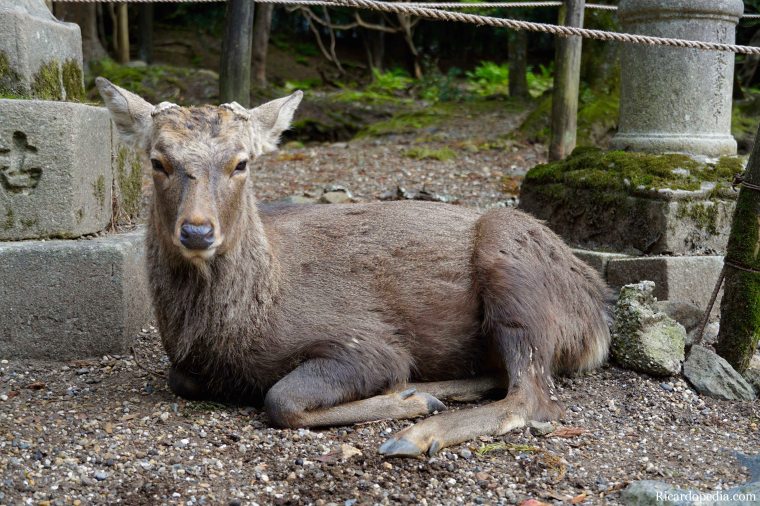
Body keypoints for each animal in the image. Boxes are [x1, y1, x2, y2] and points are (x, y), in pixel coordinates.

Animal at [97, 77, 611, 458]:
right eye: (158, 161)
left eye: (241, 163)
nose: (197, 231)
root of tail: (598, 317)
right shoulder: (187, 367)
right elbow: (181, 379)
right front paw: (409, 394)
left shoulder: (366, 340)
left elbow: (281, 398)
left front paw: (406, 401)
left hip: (514, 264)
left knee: (532, 396)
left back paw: (417, 431)